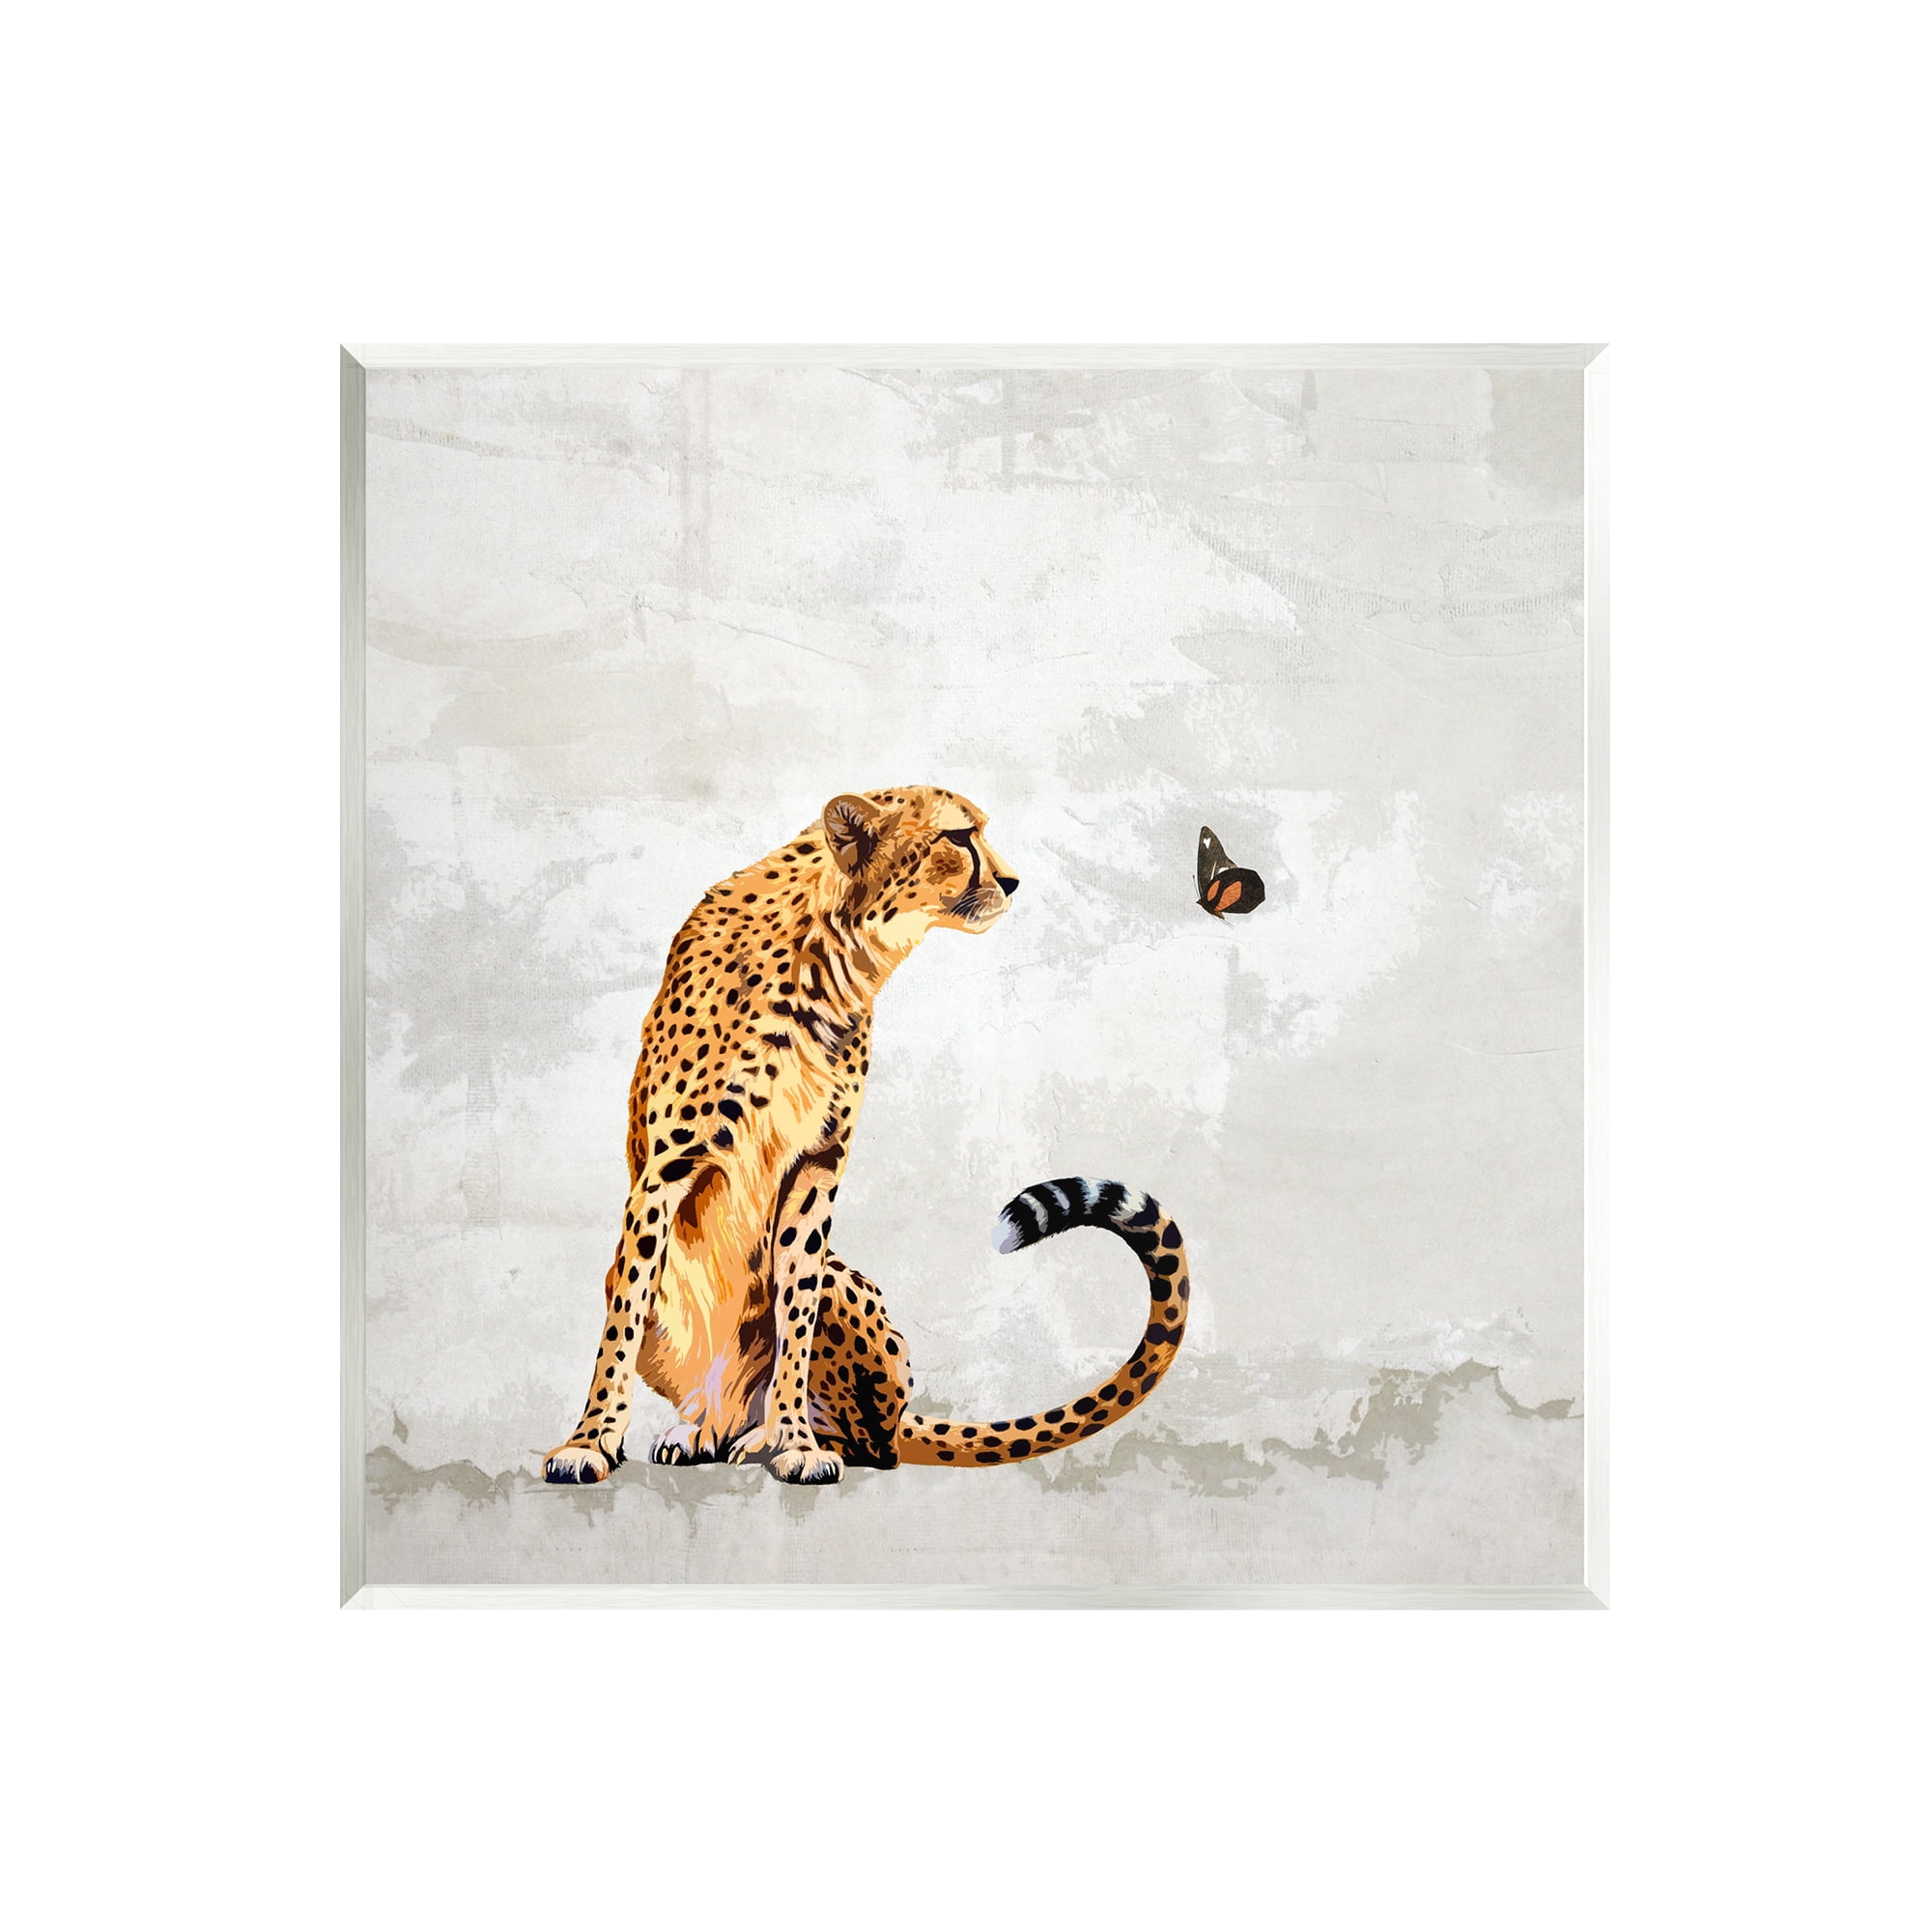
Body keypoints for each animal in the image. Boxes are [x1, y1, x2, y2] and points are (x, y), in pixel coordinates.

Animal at [542, 785, 1191, 1487]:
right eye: (959, 837)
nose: (1014, 882)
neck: (830, 957)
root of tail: (904, 1411)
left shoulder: (818, 1165)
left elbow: (796, 1310)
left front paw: (795, 1441)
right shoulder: (666, 1171)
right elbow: (624, 1319)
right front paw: (590, 1441)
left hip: (850, 1301)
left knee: (873, 1442)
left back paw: (764, 1436)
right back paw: (702, 1431)